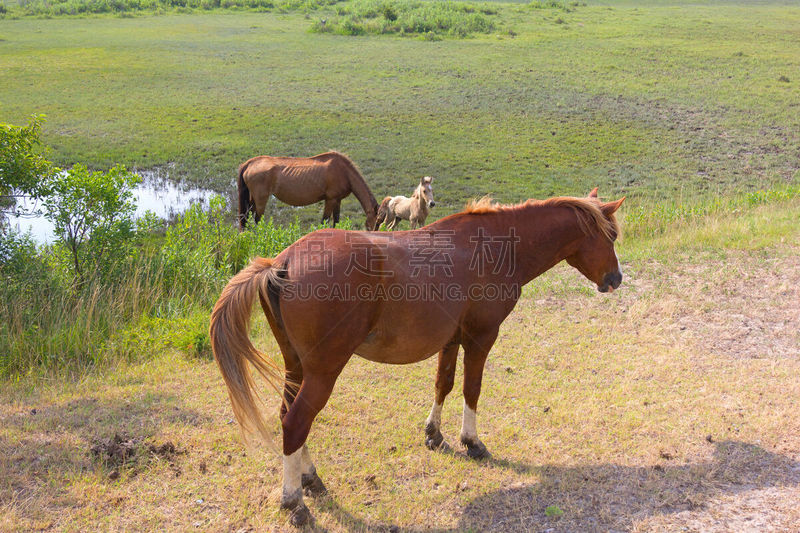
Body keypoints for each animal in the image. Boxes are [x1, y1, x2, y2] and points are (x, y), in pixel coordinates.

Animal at [211, 186, 624, 524]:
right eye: (612, 236)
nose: (616, 279)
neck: (492, 246)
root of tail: (281, 262)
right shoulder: (481, 337)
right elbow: (471, 389)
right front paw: (471, 442)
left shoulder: (452, 340)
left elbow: (444, 384)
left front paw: (434, 434)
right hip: (322, 371)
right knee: (297, 422)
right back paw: (294, 501)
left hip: (296, 366)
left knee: (288, 416)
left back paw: (310, 479)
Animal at [236, 152, 380, 231]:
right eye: (376, 222)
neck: (344, 172)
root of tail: (250, 163)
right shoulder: (330, 199)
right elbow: (324, 221)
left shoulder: (337, 200)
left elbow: (336, 221)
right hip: (261, 199)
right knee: (257, 219)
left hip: (253, 199)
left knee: (247, 217)